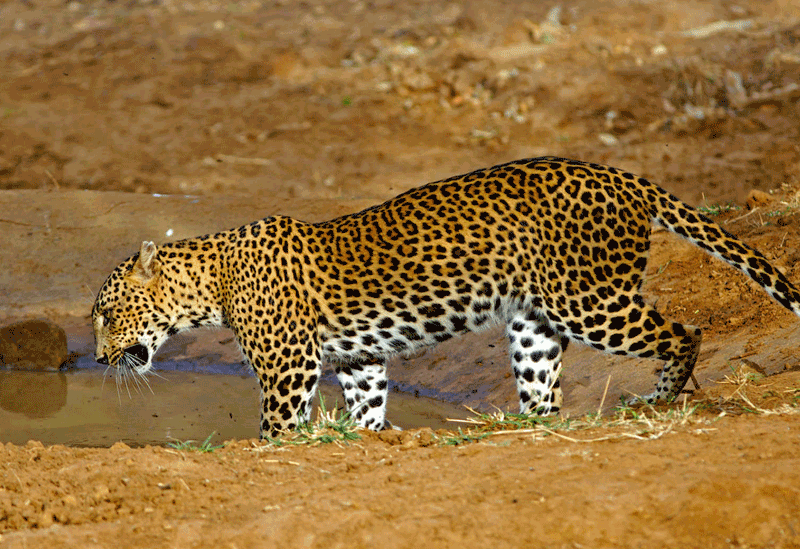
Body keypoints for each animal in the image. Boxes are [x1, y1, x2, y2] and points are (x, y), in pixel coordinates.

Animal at [90, 156, 800, 438]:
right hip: (533, 324)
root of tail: (619, 175)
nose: (96, 359)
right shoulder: (359, 360)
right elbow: (368, 409)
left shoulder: (288, 367)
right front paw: (367, 439)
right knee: (545, 388)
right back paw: (528, 425)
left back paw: (656, 401)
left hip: (590, 300)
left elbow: (275, 427)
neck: (211, 281)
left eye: (106, 314)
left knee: (685, 332)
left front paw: (273, 450)